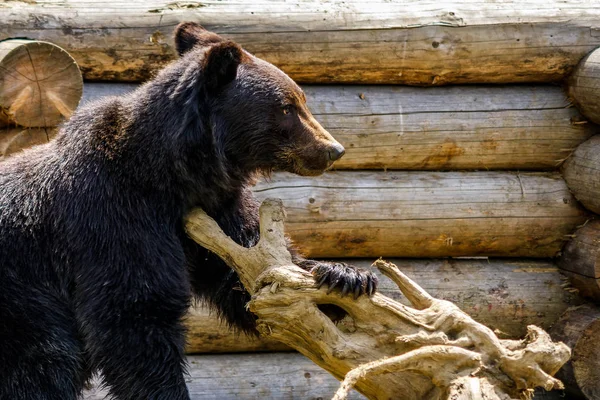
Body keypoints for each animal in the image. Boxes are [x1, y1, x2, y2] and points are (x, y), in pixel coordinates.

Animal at [0, 23, 378, 398]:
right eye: (287, 107)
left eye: (301, 100)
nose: (333, 149)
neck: (175, 175)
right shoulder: (113, 214)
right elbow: (134, 312)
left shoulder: (213, 215)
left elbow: (247, 279)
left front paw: (346, 276)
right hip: (24, 298)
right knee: (45, 359)